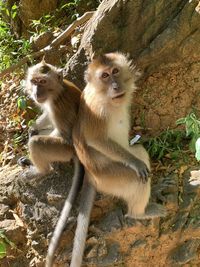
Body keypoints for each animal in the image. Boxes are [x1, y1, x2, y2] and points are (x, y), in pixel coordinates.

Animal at [70, 52, 166, 267]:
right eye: (104, 76)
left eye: (115, 71)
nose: (115, 86)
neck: (104, 96)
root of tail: (91, 174)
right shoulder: (96, 110)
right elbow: (96, 139)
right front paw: (136, 164)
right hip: (112, 178)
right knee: (137, 180)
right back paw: (139, 213)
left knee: (139, 150)